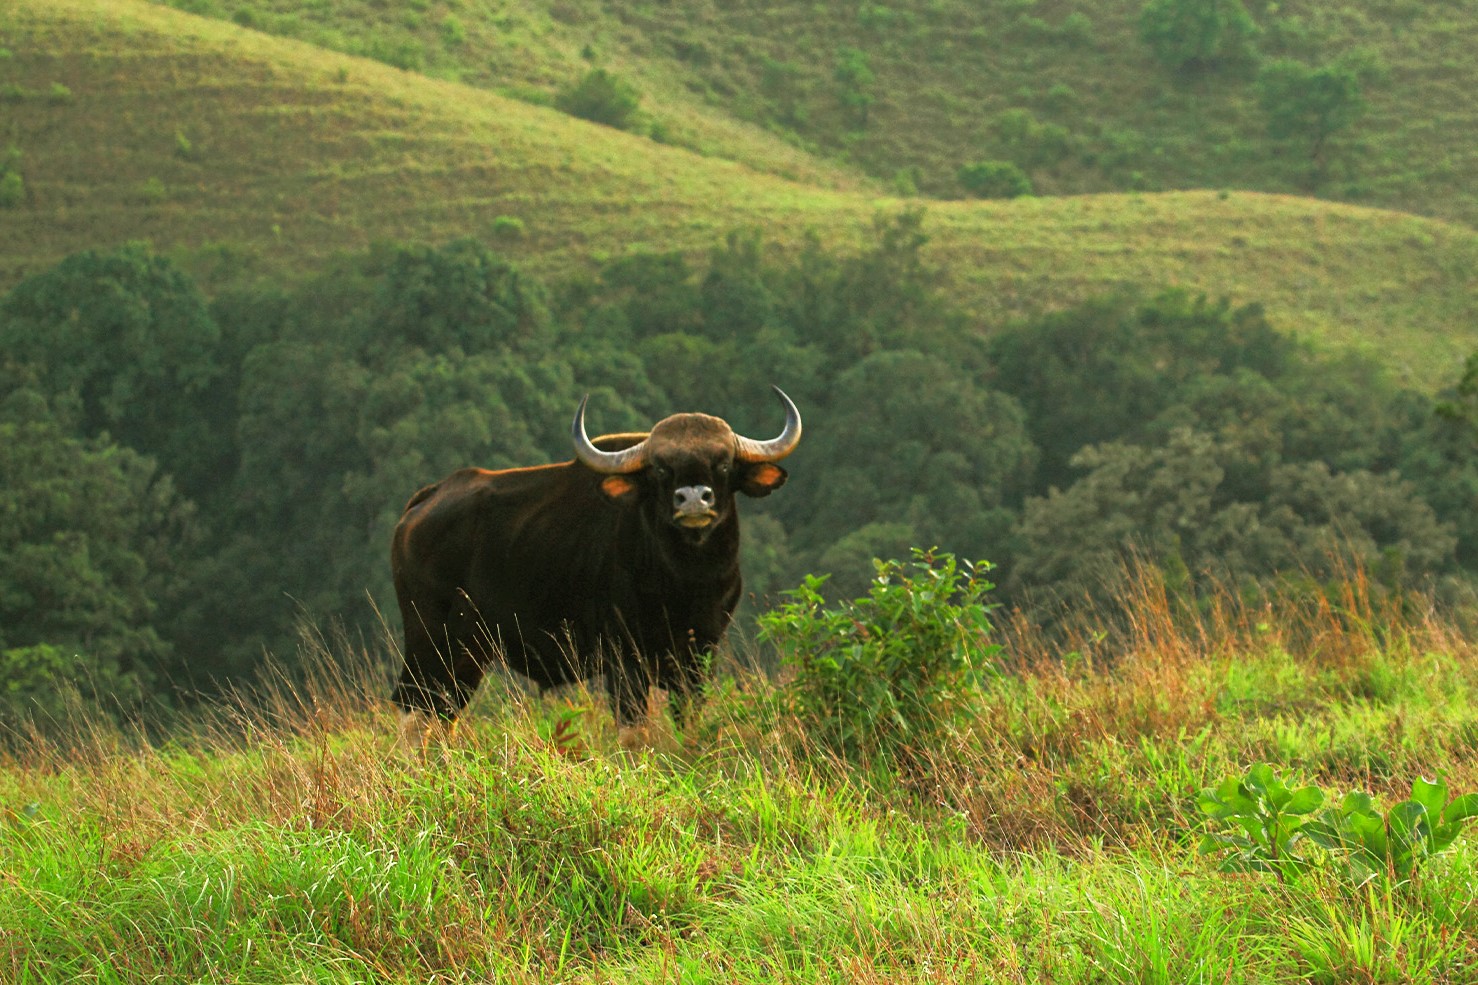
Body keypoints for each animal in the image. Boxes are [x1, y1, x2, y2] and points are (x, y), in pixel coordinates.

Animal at [387, 384, 804, 727]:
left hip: (468, 654)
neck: (685, 581)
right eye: (660, 468)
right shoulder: (625, 660)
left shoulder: (700, 655)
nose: (693, 499)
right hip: (431, 641)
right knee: (414, 708)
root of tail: (425, 500)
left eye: (723, 463)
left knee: (442, 712)